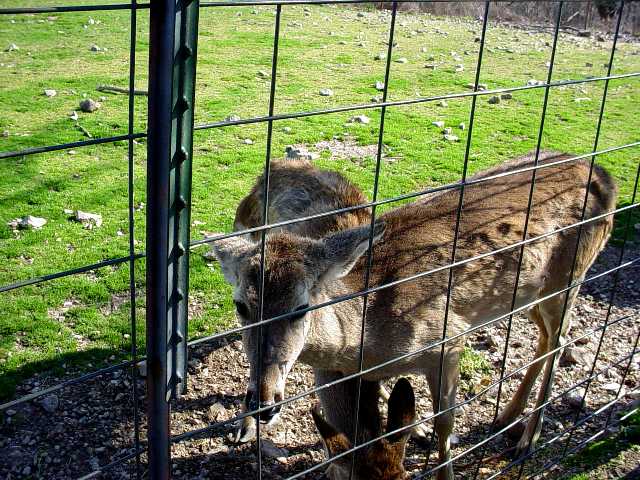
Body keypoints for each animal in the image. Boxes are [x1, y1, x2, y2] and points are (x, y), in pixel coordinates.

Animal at [212, 151, 616, 480]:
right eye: (241, 305)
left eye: (302, 306)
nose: (264, 403)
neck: (367, 339)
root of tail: (604, 175)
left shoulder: (448, 337)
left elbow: (445, 423)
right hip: (532, 292)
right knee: (547, 337)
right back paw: (508, 417)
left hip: (571, 274)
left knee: (559, 339)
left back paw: (528, 438)